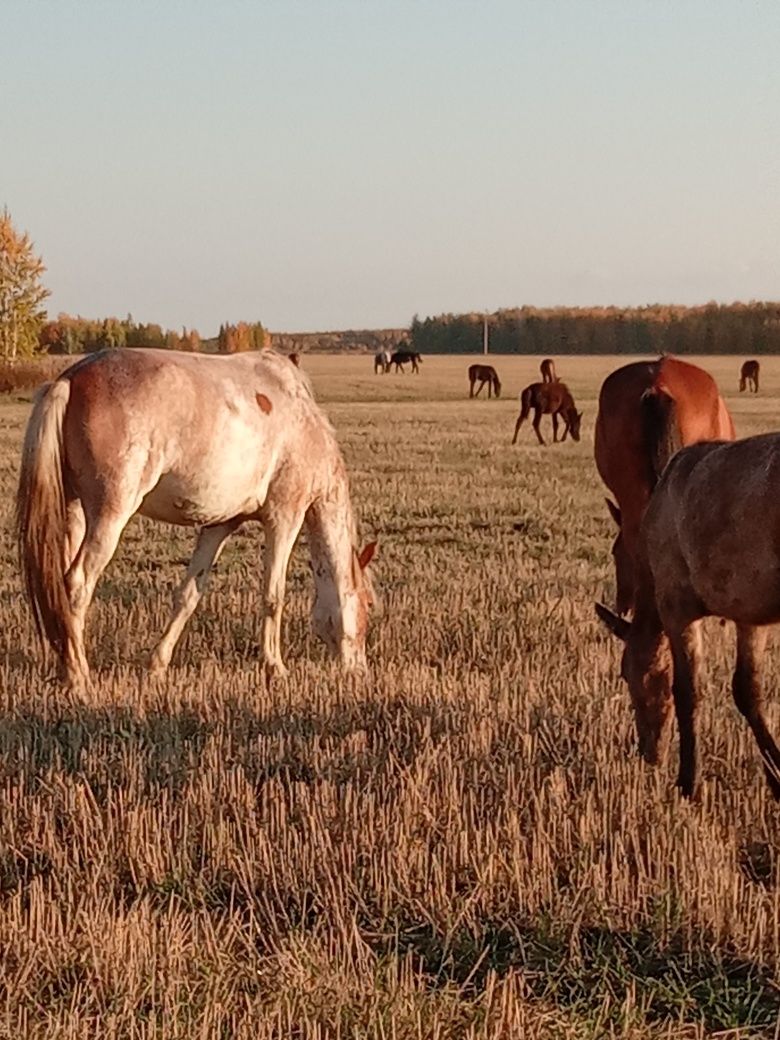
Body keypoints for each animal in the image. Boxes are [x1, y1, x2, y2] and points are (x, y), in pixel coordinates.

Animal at [13, 349, 376, 690]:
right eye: (369, 605)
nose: (359, 670)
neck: (304, 422)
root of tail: (70, 379)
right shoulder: (285, 515)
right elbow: (273, 595)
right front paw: (275, 667)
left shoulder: (220, 525)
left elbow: (189, 595)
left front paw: (157, 666)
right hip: (109, 516)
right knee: (77, 583)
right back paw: (78, 676)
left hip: (72, 512)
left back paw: (65, 666)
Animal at [599, 434, 780, 798]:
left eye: (625, 675)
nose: (648, 753)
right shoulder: (749, 613)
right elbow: (749, 691)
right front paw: (777, 779)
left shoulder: (676, 606)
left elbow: (688, 691)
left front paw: (688, 780)